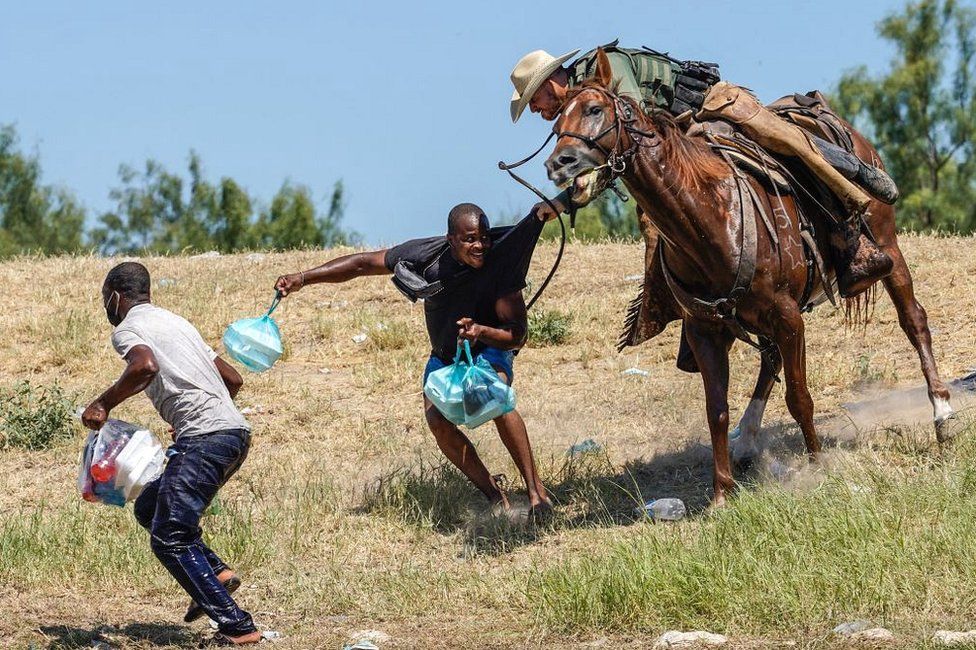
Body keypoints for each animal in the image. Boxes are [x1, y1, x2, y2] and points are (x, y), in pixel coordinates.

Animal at [544, 49, 956, 506]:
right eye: (556, 123)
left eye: (595, 110)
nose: (558, 163)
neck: (710, 217)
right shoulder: (706, 329)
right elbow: (717, 410)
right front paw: (721, 493)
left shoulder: (788, 316)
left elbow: (799, 397)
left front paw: (817, 466)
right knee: (770, 358)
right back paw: (747, 440)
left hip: (887, 247)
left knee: (913, 320)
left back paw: (942, 413)